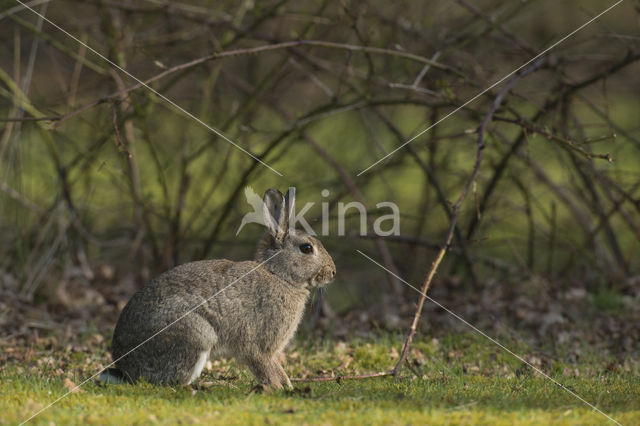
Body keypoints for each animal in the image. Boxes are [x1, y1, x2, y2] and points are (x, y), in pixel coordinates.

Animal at [100, 186, 336, 390]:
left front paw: (288, 385)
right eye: (307, 248)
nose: (333, 272)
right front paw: (278, 389)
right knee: (173, 383)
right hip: (196, 334)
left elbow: (278, 368)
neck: (278, 275)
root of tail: (128, 370)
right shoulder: (258, 345)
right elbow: (265, 368)